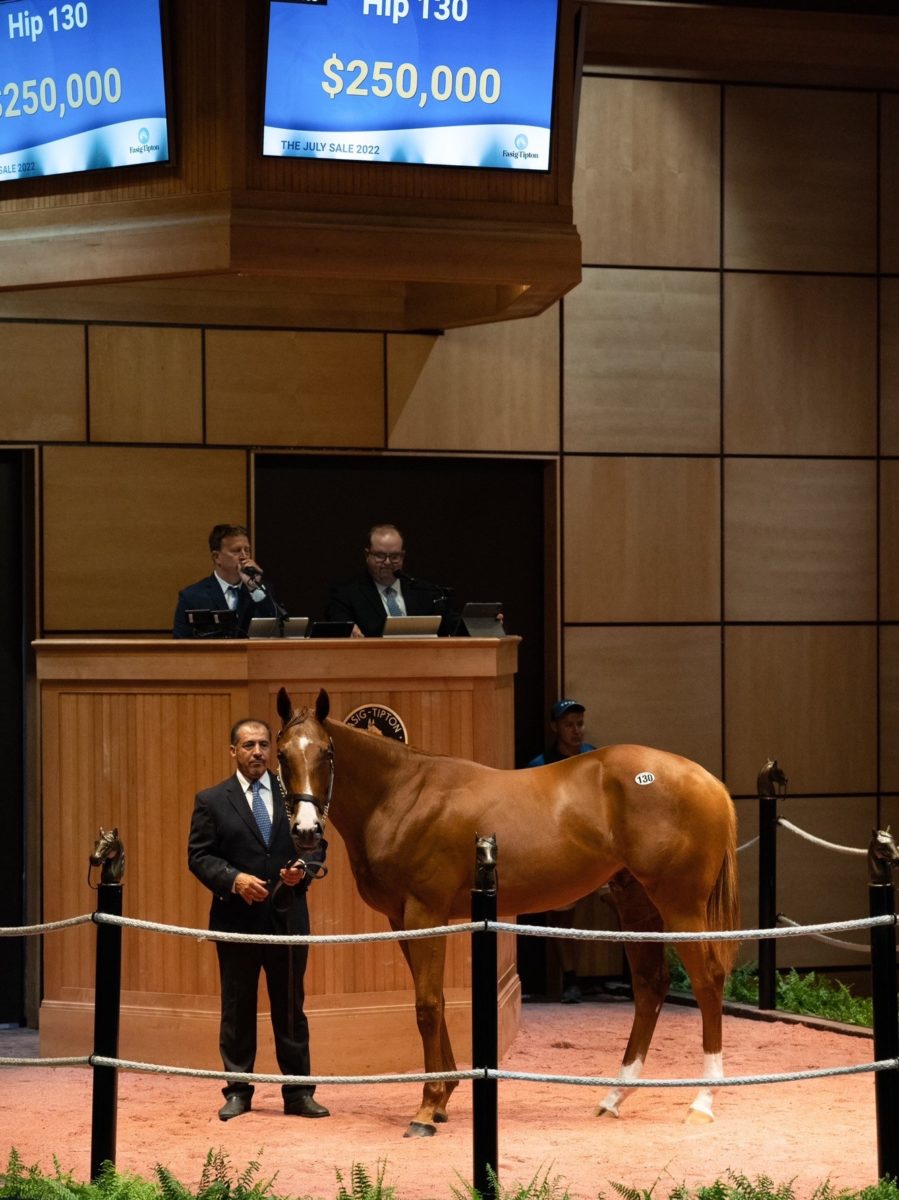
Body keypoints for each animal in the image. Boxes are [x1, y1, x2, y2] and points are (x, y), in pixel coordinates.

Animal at [274, 691, 734, 1137]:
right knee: (650, 985)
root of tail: (707, 781)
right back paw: (614, 1097)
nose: (306, 831)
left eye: (326, 752)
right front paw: (441, 1099)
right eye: (282, 754)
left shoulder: (425, 912)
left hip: (681, 906)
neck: (400, 795)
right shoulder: (401, 921)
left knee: (708, 982)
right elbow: (435, 1000)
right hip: (636, 904)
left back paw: (703, 1101)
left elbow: (427, 1006)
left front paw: (426, 1108)